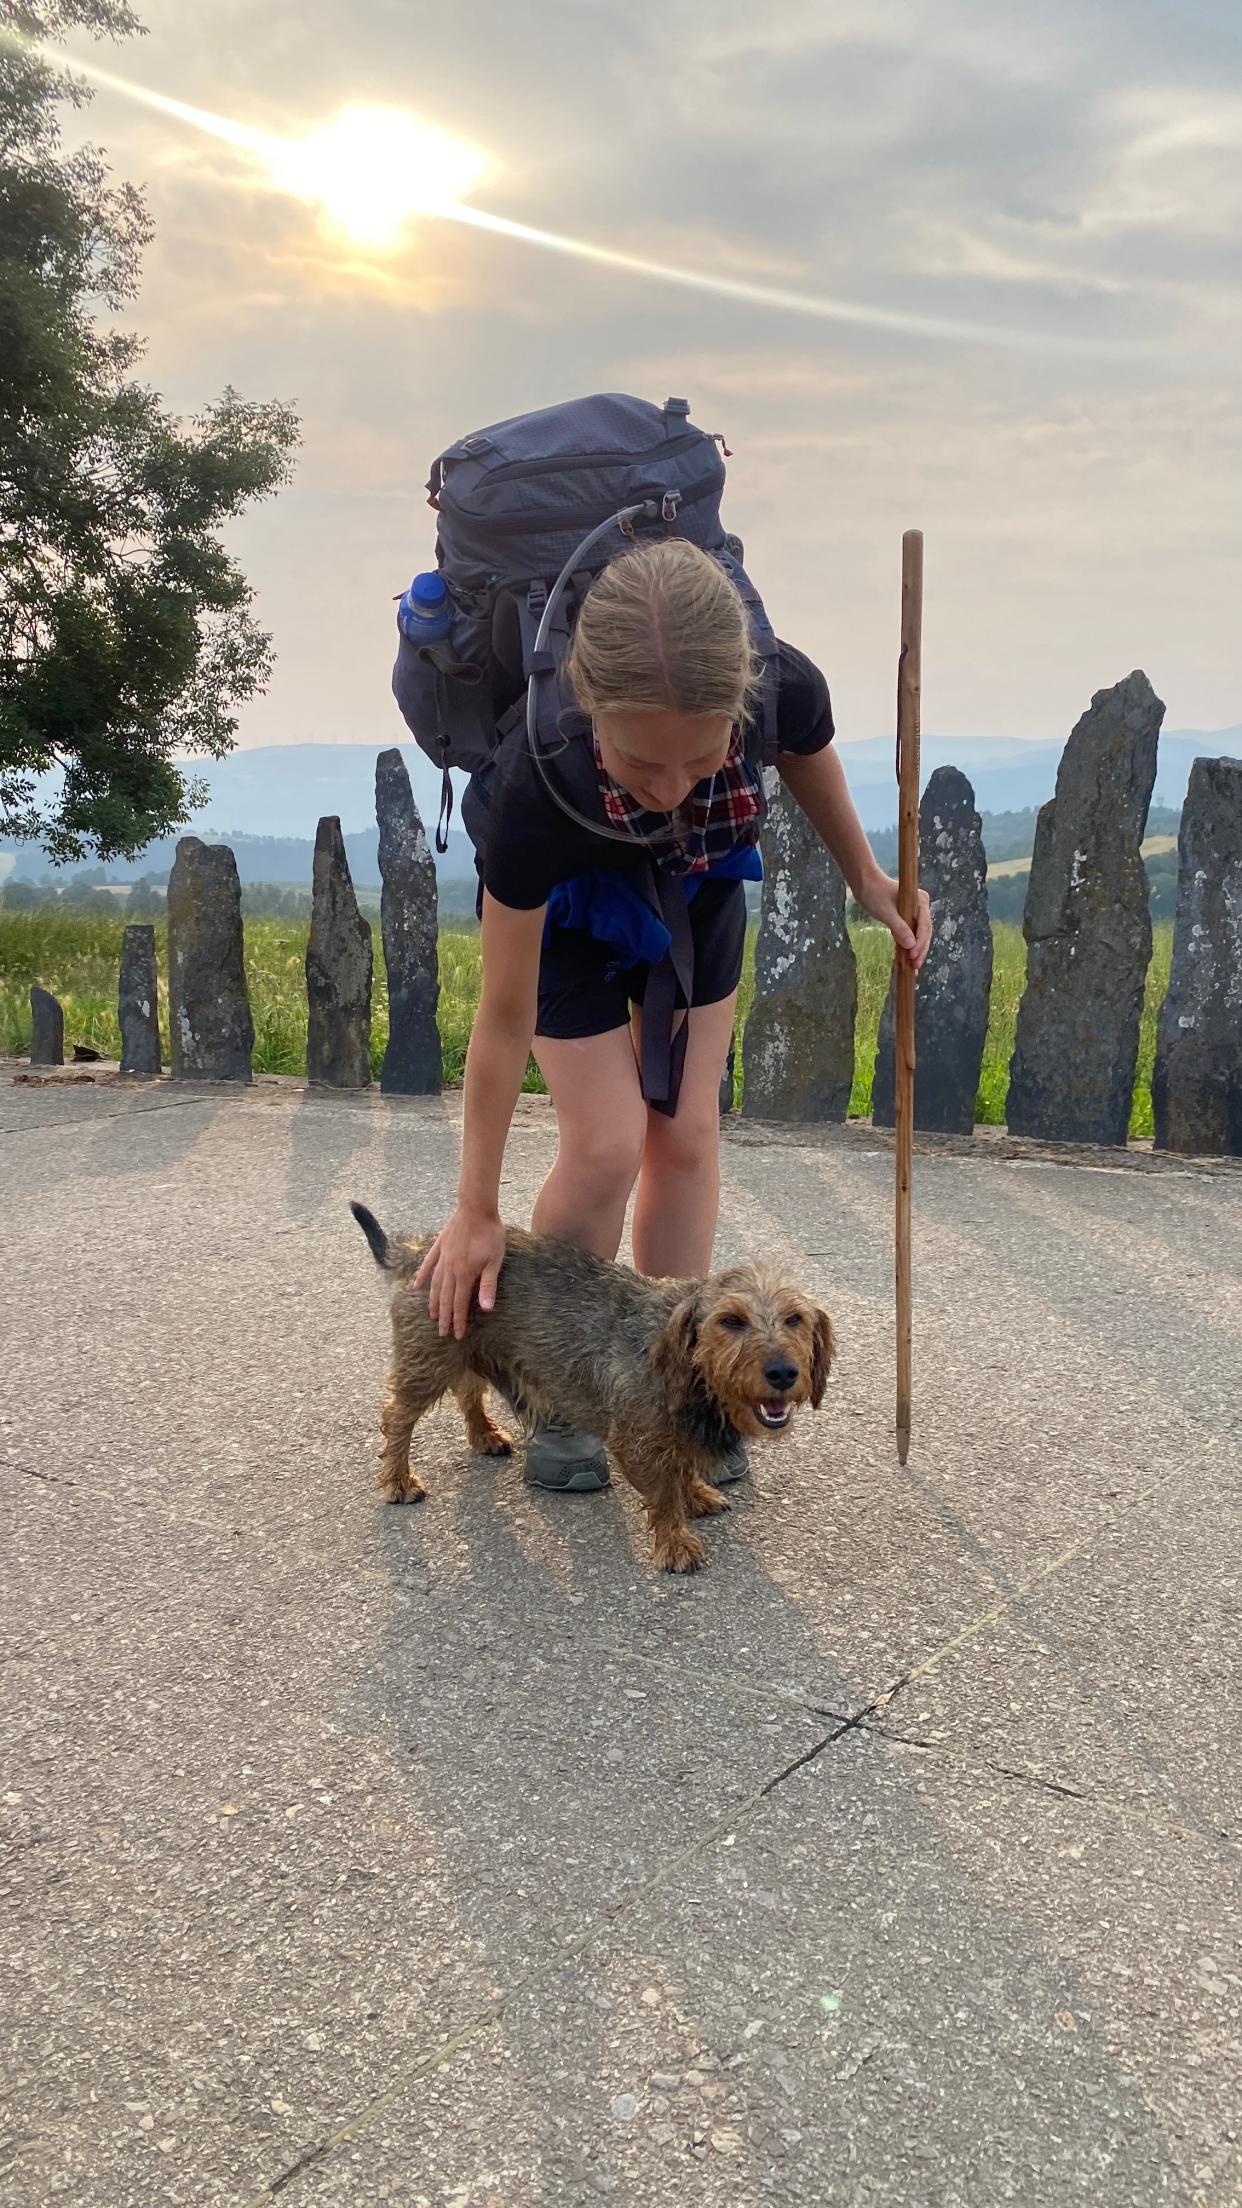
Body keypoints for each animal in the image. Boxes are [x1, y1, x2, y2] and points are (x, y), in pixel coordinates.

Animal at [349, 1201, 830, 1580]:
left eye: (794, 1319)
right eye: (731, 1321)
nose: (783, 1372)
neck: (685, 1368)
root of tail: (419, 1249)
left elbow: (681, 1468)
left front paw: (695, 1494)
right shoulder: (637, 1441)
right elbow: (663, 1492)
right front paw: (675, 1542)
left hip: (467, 1346)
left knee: (469, 1392)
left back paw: (484, 1435)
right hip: (428, 1361)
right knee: (397, 1416)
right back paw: (398, 1480)